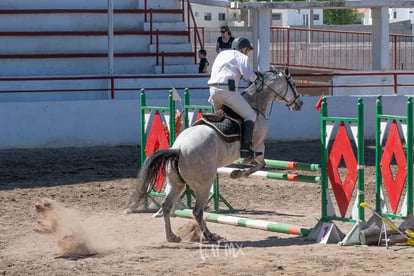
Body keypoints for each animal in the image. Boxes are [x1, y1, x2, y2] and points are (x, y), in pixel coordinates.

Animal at [124, 68, 302, 243]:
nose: (299, 104)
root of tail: (178, 149)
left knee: (167, 206)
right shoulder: (258, 145)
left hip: (176, 184)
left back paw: (172, 236)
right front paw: (236, 173)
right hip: (204, 184)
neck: (256, 105)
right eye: (293, 84)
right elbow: (259, 164)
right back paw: (209, 235)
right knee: (197, 211)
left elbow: (256, 164)